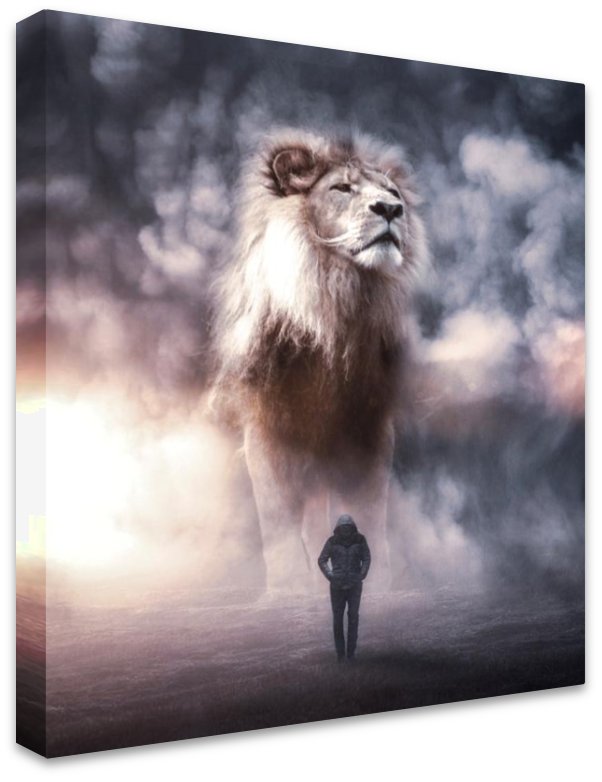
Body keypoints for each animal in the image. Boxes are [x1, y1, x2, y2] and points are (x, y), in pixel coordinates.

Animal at [211, 127, 427, 592]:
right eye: (342, 189)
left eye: (393, 193)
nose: (391, 210)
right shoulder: (265, 428)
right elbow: (277, 518)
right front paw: (288, 591)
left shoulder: (369, 431)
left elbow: (369, 509)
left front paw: (378, 585)